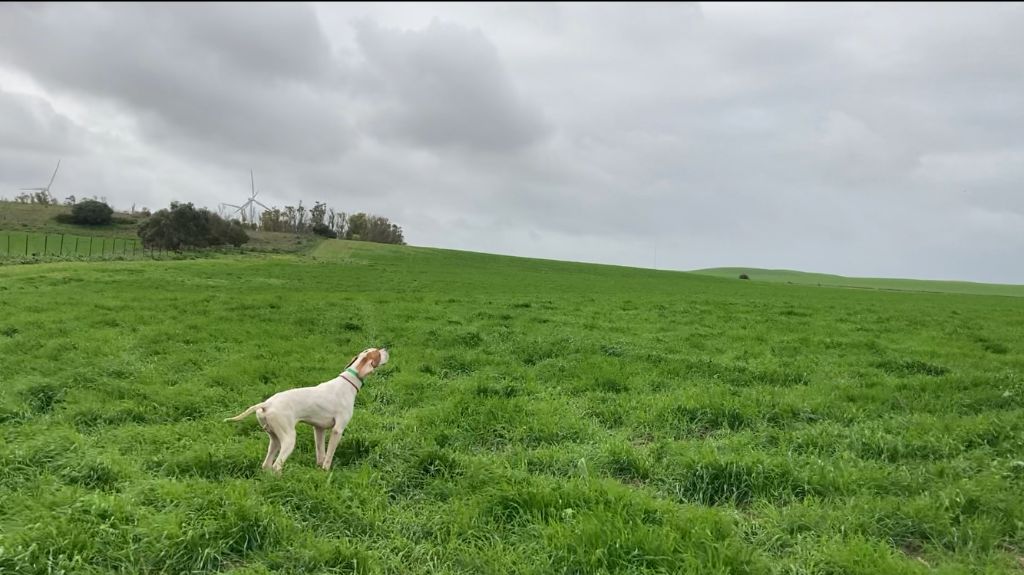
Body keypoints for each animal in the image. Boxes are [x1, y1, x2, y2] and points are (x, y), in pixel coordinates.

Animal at [225, 347, 389, 473]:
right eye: (377, 353)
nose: (386, 348)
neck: (348, 382)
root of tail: (266, 404)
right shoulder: (338, 430)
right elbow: (329, 455)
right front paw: (326, 470)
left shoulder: (319, 429)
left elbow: (321, 453)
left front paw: (319, 469)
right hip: (289, 438)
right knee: (277, 466)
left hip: (274, 439)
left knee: (266, 465)